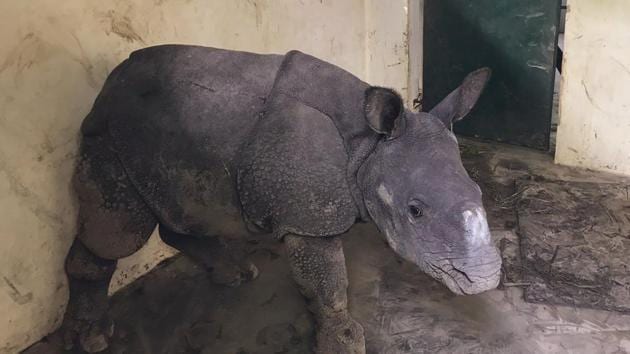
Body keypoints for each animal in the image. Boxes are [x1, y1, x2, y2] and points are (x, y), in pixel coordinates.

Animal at [60, 45, 504, 352]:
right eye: (415, 211)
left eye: (480, 193)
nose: (482, 279)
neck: (368, 146)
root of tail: (108, 83)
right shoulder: (310, 219)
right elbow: (327, 284)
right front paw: (344, 342)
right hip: (107, 133)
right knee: (121, 232)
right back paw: (92, 337)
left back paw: (236, 274)